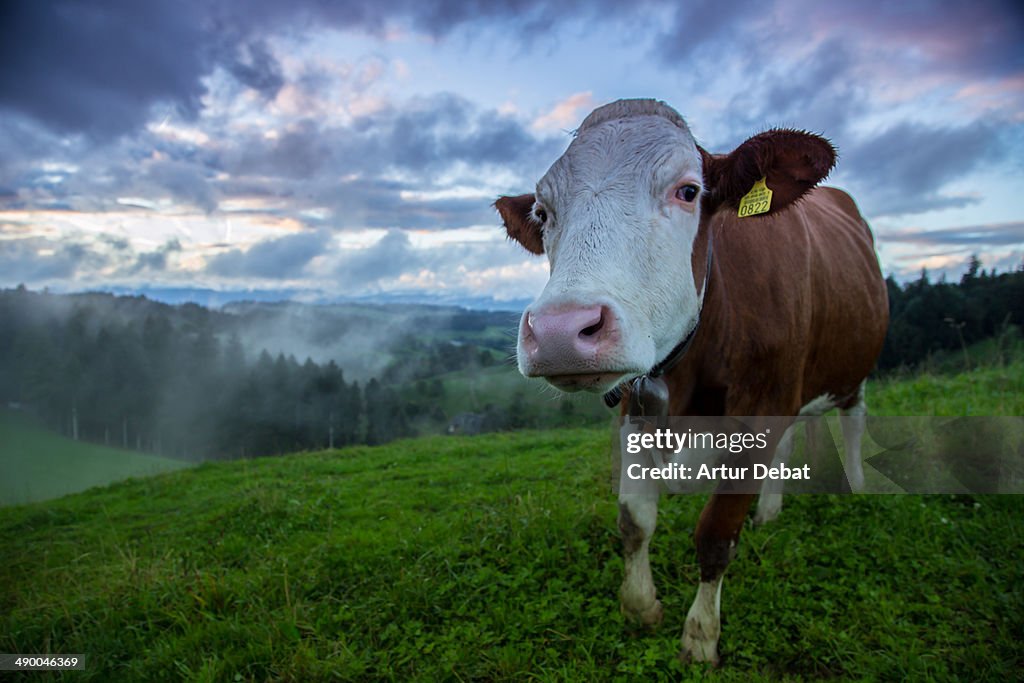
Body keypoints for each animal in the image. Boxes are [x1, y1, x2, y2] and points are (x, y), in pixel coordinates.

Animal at [495, 98, 888, 663]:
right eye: (543, 214)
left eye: (687, 191)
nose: (559, 332)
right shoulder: (635, 409)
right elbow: (635, 520)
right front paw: (641, 607)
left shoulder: (760, 408)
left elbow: (716, 534)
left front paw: (700, 636)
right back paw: (770, 512)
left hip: (854, 363)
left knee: (854, 420)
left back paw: (855, 485)